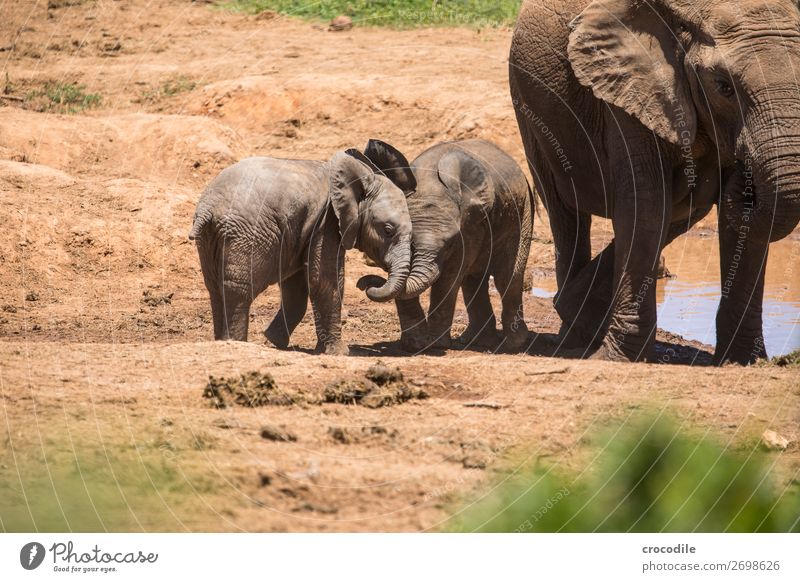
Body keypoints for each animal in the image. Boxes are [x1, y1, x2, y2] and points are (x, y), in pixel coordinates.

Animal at [189, 151, 412, 356]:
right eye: (388, 230)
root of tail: (208, 209)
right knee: (239, 290)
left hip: (211, 238)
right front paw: (339, 353)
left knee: (215, 288)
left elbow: (295, 286)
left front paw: (275, 341)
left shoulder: (301, 229)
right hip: (247, 234)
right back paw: (236, 343)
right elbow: (325, 280)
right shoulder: (327, 222)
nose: (364, 285)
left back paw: (221, 342)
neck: (363, 175)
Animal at [510, 0, 800, 364]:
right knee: (567, 214)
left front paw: (743, 362)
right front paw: (619, 358)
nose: (740, 170)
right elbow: (645, 203)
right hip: (533, 113)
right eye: (723, 87)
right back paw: (574, 334)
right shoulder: (630, 88)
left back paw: (576, 314)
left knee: (680, 211)